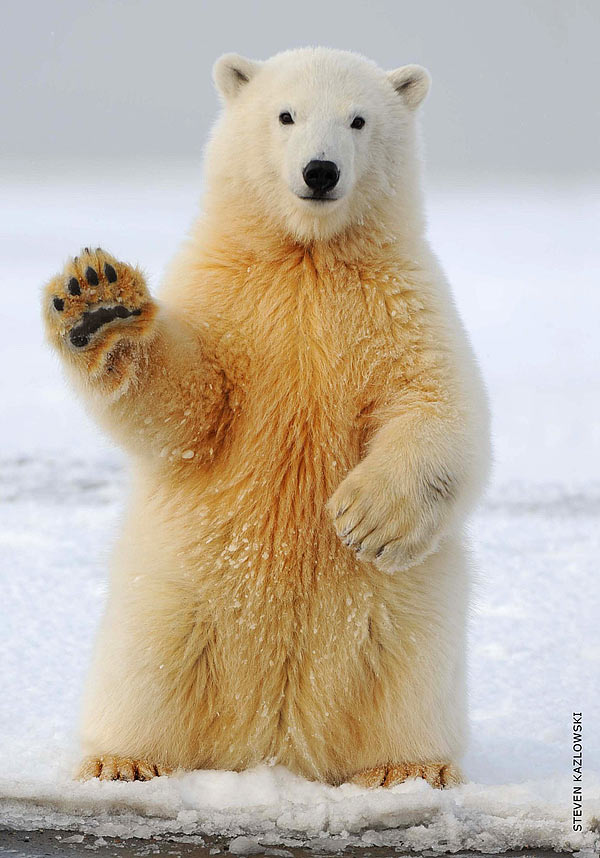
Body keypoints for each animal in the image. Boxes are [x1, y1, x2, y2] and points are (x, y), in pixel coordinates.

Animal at [42, 47, 490, 788]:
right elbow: (191, 407)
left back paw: (406, 770)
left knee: (407, 677)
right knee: (146, 669)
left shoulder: (402, 303)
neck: (307, 255)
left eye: (358, 119)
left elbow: (437, 405)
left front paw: (366, 518)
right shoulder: (227, 294)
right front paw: (98, 303)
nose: (321, 170)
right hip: (172, 595)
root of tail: (275, 742)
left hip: (406, 618)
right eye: (286, 115)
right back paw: (122, 759)